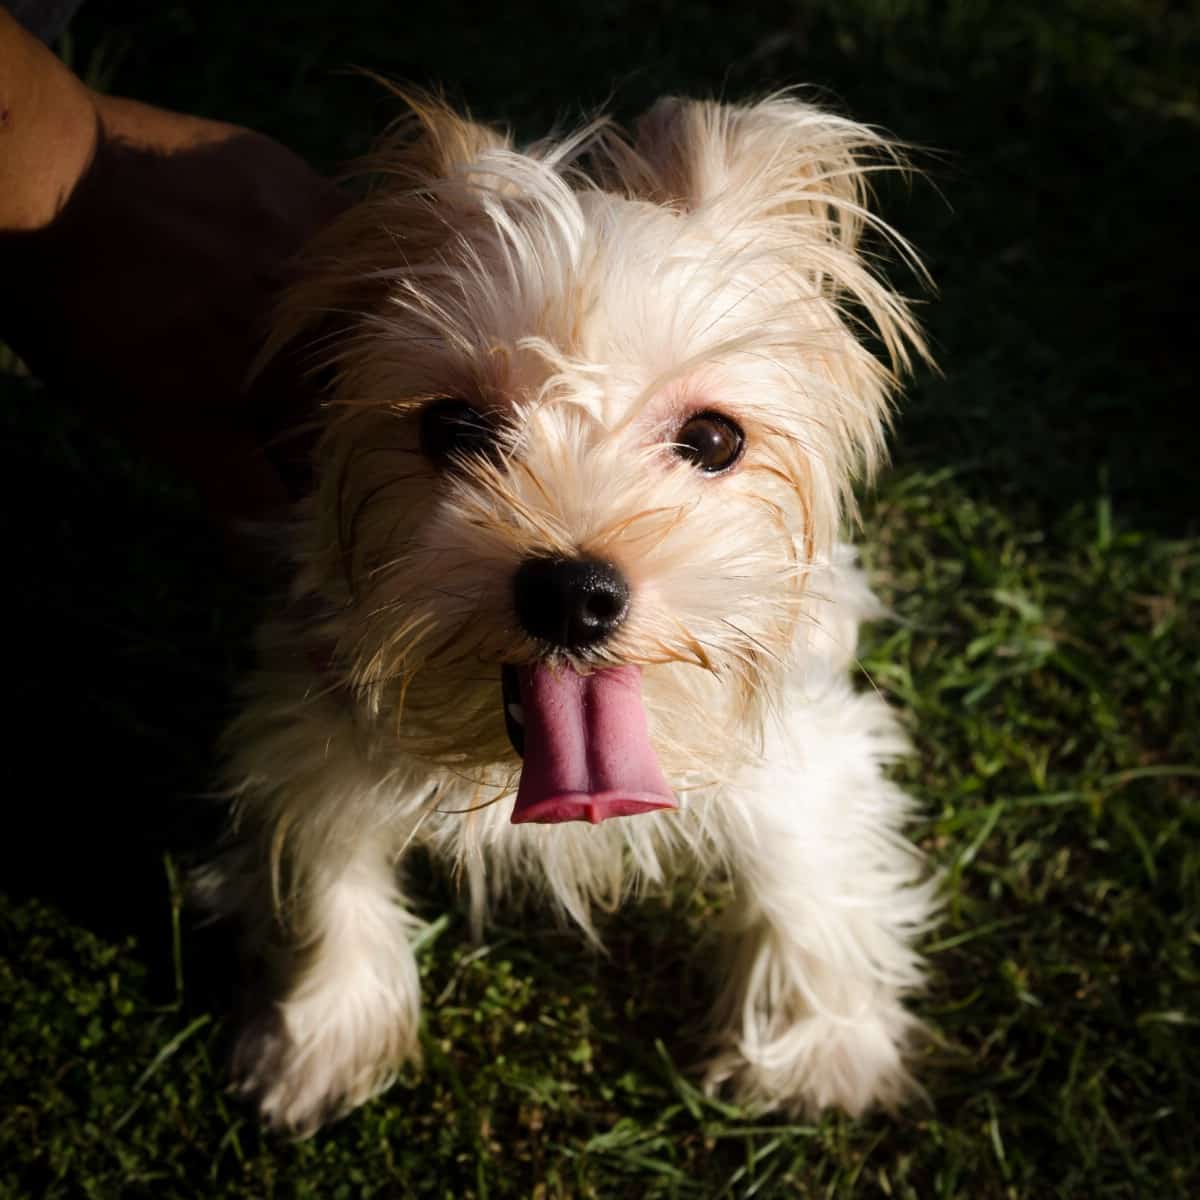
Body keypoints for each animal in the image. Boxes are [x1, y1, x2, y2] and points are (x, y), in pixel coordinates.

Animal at [196, 93, 940, 1132]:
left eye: (714, 439)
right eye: (455, 428)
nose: (573, 593)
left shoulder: (801, 720)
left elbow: (808, 854)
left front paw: (820, 1044)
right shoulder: (308, 709)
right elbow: (322, 855)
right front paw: (321, 1028)